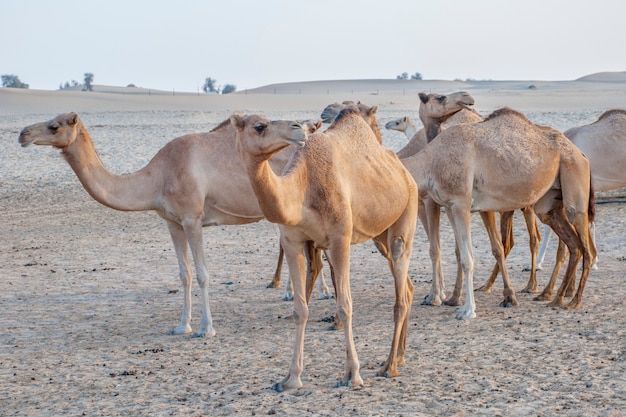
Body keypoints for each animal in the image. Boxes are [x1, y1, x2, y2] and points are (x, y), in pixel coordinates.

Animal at [18, 111, 310, 338]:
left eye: (54, 126)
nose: (23, 133)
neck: (158, 176)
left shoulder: (192, 218)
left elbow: (203, 274)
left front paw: (206, 328)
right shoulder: (172, 222)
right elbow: (184, 274)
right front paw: (182, 326)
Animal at [232, 108, 416, 390]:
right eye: (259, 126)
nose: (297, 127)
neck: (302, 191)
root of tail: (405, 172)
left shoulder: (339, 240)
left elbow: (345, 306)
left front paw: (352, 374)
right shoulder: (293, 242)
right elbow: (300, 309)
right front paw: (290, 378)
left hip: (407, 213)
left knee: (401, 293)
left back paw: (389, 366)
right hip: (381, 236)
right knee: (407, 286)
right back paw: (400, 357)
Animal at [400, 98, 596, 318]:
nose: (467, 100)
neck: (429, 162)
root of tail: (581, 154)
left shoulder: (460, 203)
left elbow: (467, 258)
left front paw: (468, 310)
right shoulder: (449, 205)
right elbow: (460, 253)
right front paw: (455, 300)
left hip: (574, 177)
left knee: (585, 243)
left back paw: (574, 301)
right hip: (549, 203)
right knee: (574, 245)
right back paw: (556, 299)